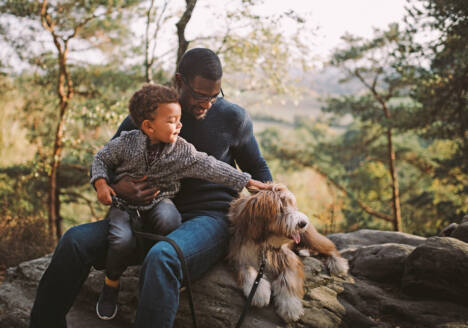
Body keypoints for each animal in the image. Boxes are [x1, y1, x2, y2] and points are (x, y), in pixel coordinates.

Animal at [227, 183, 348, 322]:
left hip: (311, 237)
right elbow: (246, 269)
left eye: (291, 203)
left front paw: (290, 307)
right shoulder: (237, 253)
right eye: (280, 209)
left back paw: (338, 264)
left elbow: (289, 278)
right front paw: (259, 292)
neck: (262, 241)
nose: (303, 223)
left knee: (329, 247)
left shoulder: (287, 256)